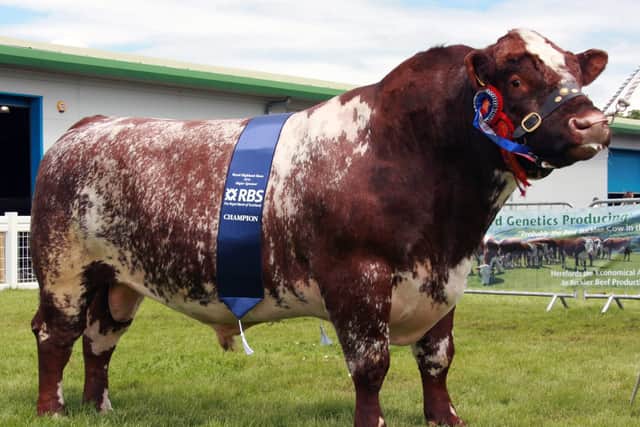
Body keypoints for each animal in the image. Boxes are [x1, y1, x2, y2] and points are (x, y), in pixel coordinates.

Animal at [30, 29, 610, 426]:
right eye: (516, 78)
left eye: (578, 77)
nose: (593, 124)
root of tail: (89, 126)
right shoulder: (356, 278)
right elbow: (371, 364)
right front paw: (373, 421)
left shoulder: (447, 279)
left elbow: (437, 358)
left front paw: (445, 419)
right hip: (64, 269)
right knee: (54, 334)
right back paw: (52, 409)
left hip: (117, 280)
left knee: (99, 339)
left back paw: (100, 407)